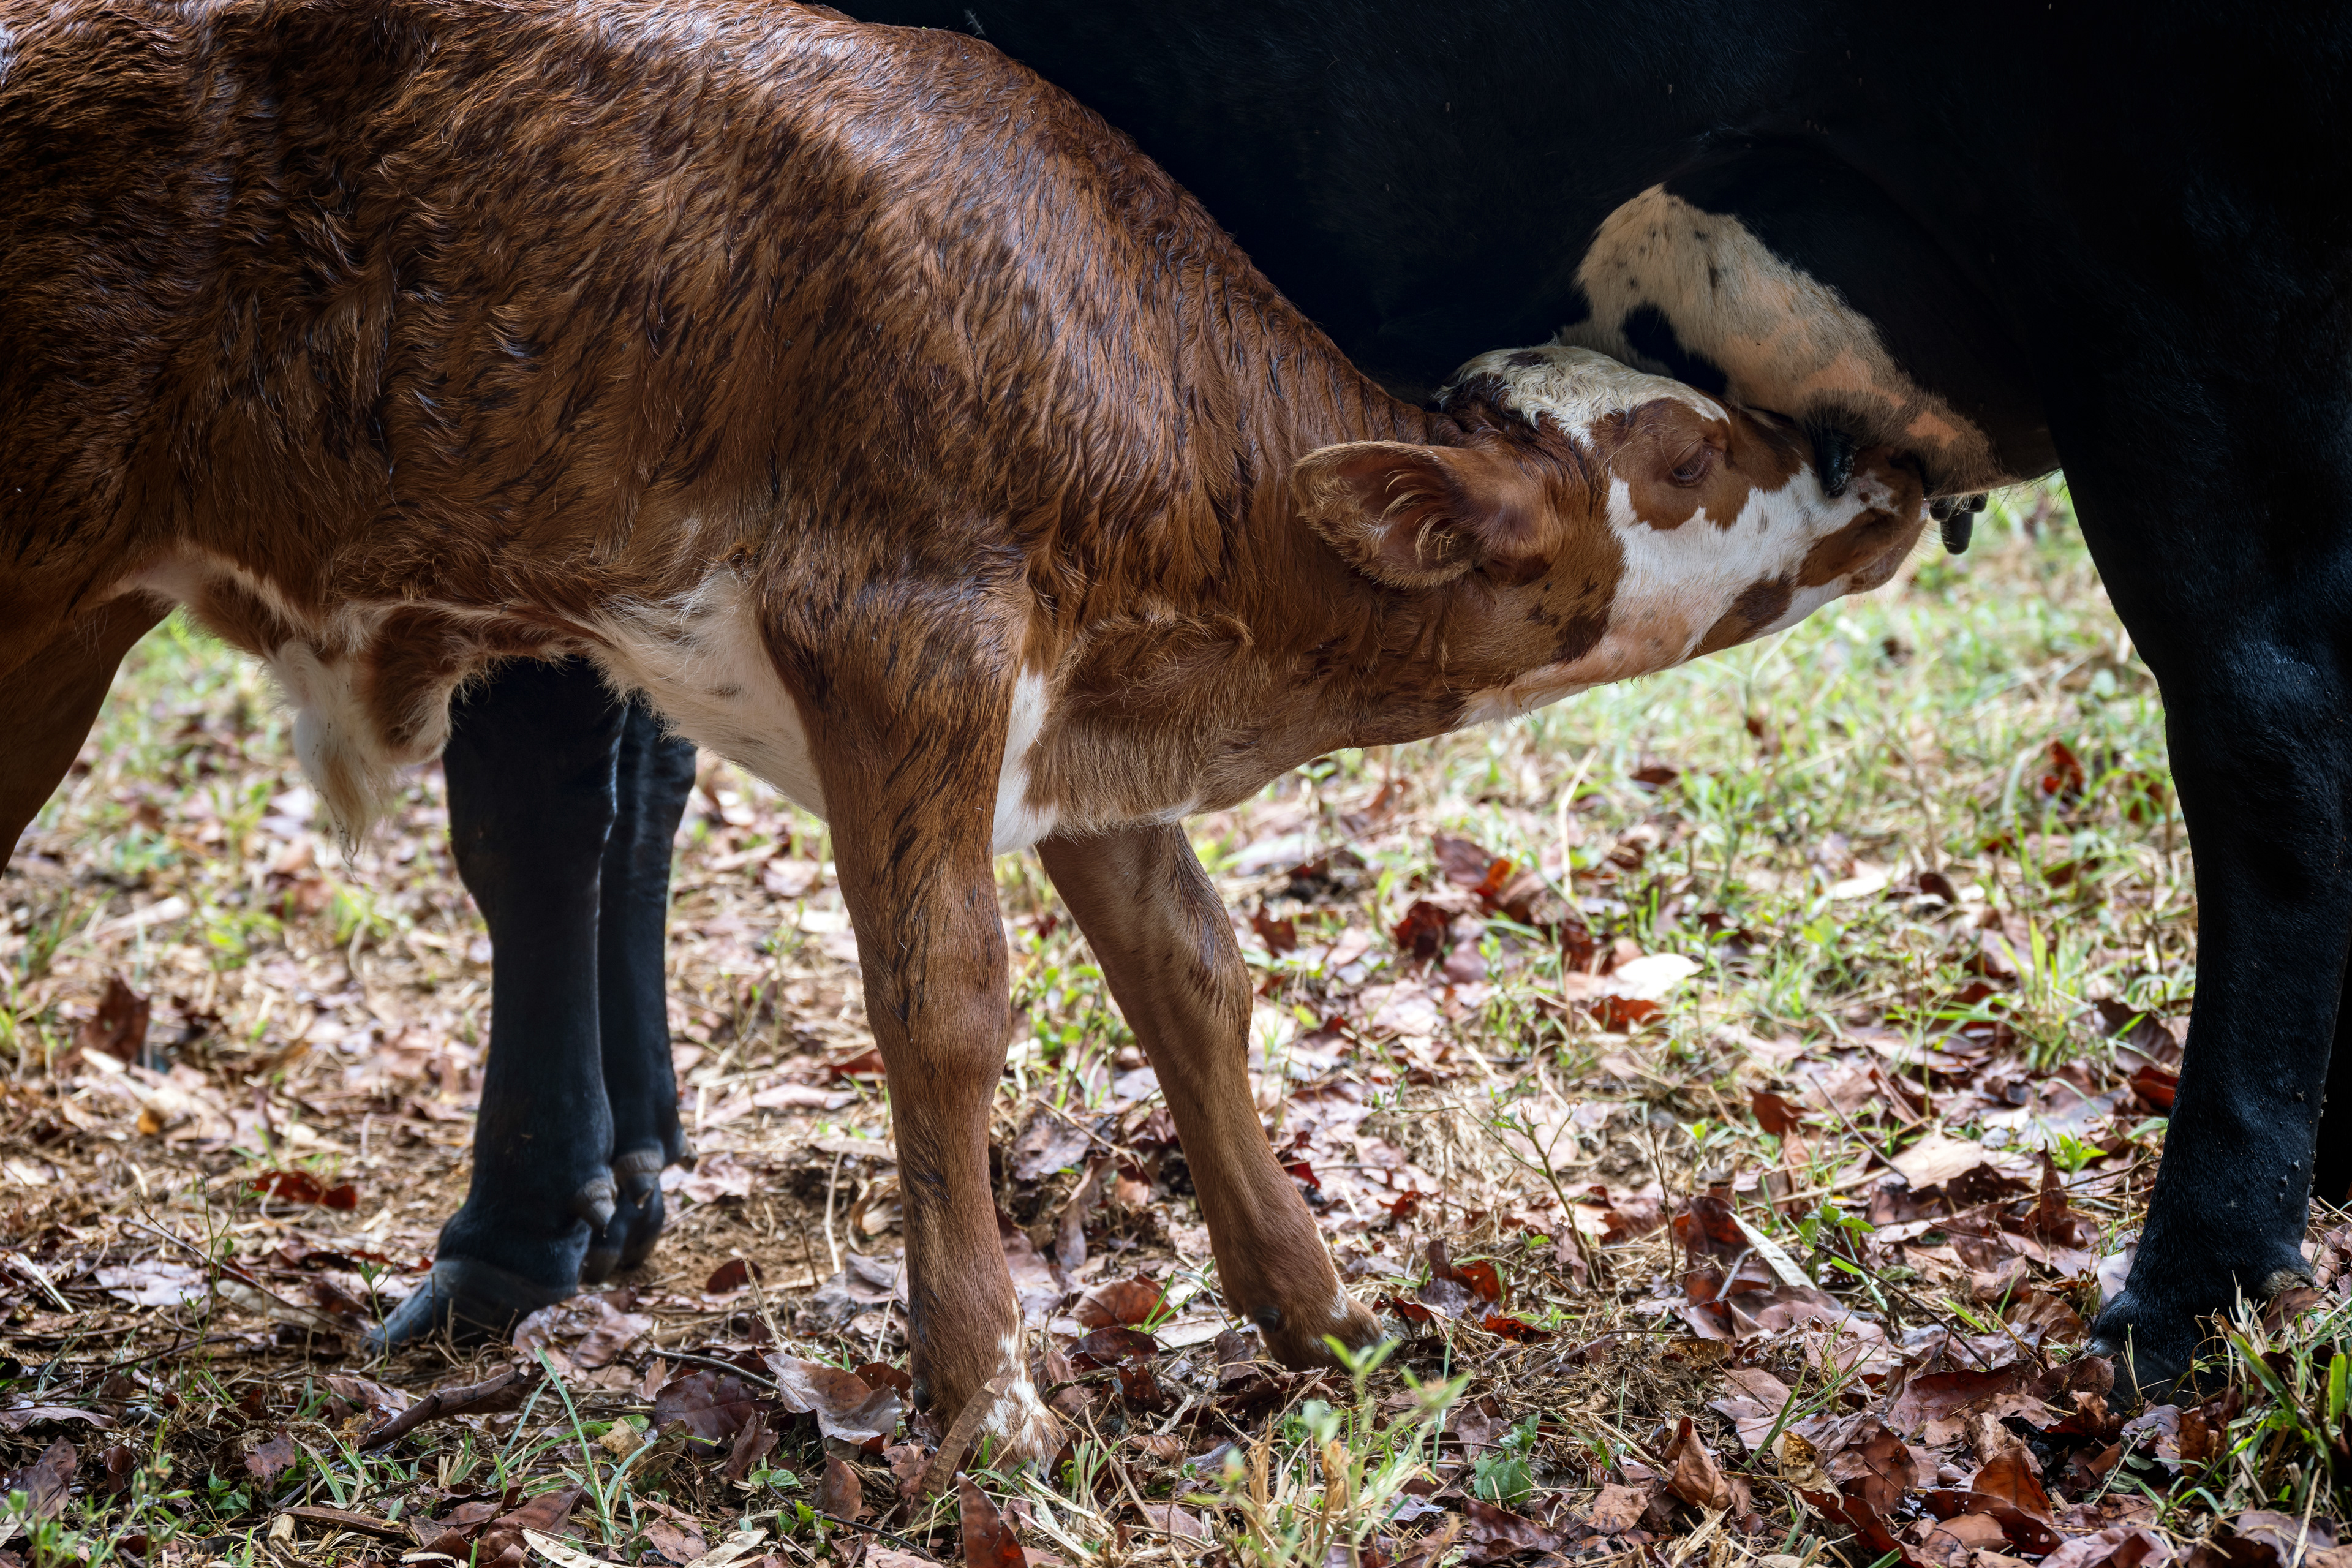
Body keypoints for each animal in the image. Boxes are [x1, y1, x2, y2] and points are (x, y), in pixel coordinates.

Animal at [0, 0, 1929, 1455]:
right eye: (1685, 454)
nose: (1868, 460)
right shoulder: (899, 627)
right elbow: (944, 1000)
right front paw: (987, 1397)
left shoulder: (1081, 710)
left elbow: (1191, 968)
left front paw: (1317, 1314)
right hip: (45, 579)